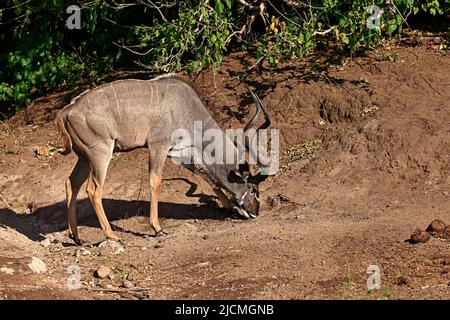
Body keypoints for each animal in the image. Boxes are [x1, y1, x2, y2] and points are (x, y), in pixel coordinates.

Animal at [57, 74, 272, 245]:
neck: (185, 106)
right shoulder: (158, 146)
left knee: (70, 183)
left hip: (84, 158)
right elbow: (155, 181)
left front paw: (229, 208)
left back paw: (76, 237)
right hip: (100, 154)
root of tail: (66, 112)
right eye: (253, 189)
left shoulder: (181, 152)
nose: (255, 212)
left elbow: (205, 175)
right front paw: (158, 228)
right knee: (93, 190)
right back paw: (112, 236)